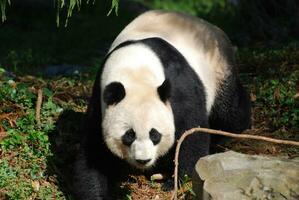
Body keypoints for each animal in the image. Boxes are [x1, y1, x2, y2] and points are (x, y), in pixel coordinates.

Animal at [74, 10, 252, 199]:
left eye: (155, 134)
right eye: (129, 135)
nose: (143, 160)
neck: (134, 69)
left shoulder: (178, 86)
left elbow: (192, 131)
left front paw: (177, 181)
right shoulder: (100, 99)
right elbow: (94, 151)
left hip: (218, 70)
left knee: (229, 113)